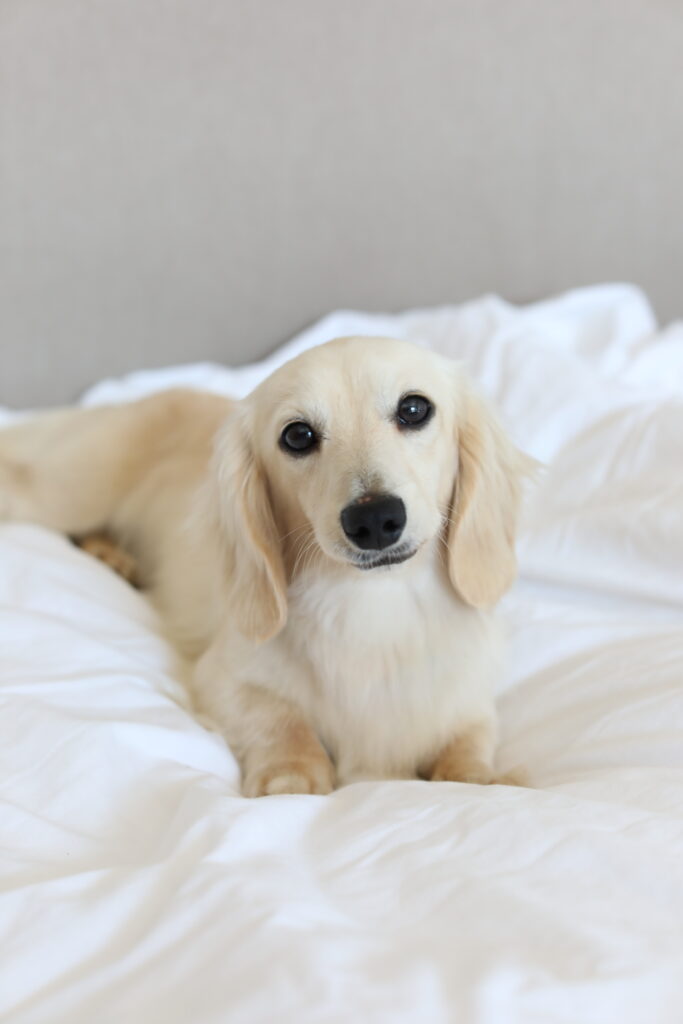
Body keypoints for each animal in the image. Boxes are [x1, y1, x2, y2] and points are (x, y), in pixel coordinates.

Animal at [0, 339, 532, 794]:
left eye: (414, 409)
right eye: (298, 435)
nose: (374, 519)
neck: (374, 609)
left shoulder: (468, 703)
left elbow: (468, 746)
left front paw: (481, 778)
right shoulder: (223, 678)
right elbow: (279, 718)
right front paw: (293, 773)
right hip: (56, 495)